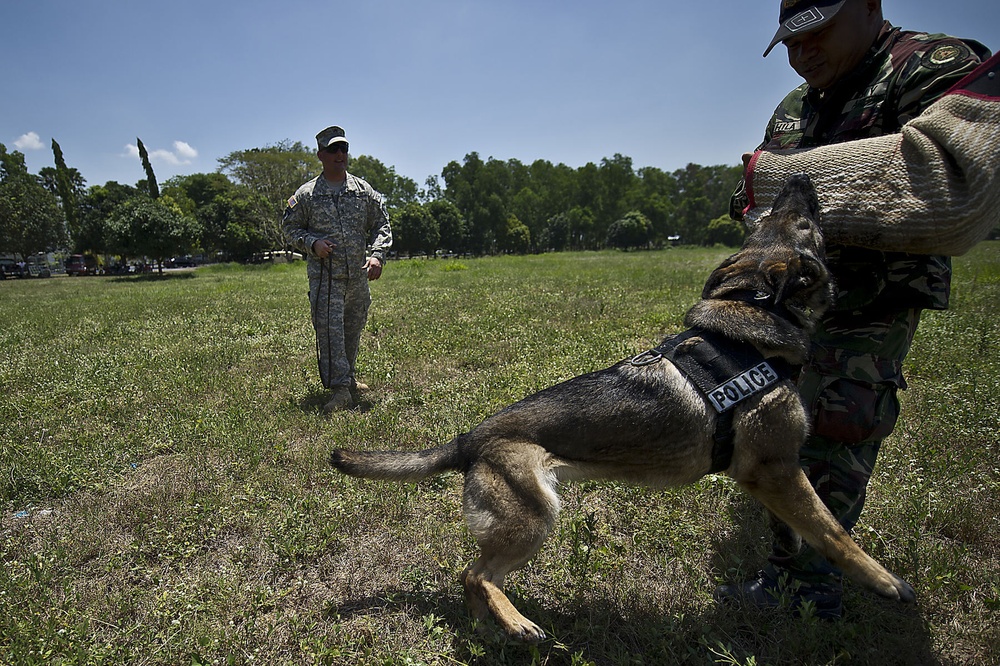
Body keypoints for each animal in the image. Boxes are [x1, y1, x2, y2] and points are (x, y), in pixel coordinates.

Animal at [332, 174, 916, 640]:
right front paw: (885, 582)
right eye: (799, 222)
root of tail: (469, 438)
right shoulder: (774, 468)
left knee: (473, 581)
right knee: (475, 574)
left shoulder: (773, 474)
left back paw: (494, 626)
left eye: (775, 218)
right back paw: (518, 623)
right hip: (536, 513)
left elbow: (800, 524)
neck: (748, 324)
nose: (800, 181)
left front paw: (790, 543)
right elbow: (834, 530)